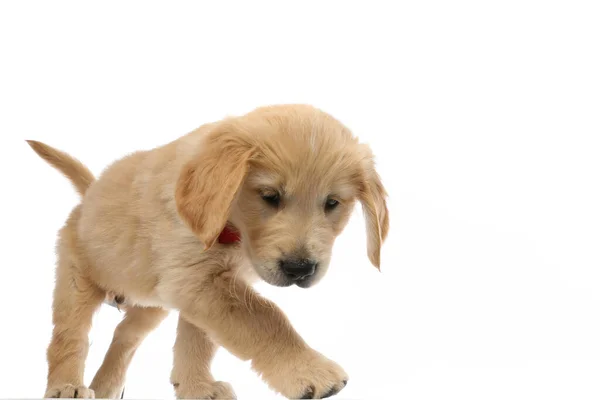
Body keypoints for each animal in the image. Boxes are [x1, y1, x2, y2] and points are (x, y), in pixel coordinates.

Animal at [28, 104, 386, 398]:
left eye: (332, 203)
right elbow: (265, 316)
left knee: (125, 335)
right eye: (269, 196)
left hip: (151, 301)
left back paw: (106, 387)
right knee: (69, 337)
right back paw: (67, 386)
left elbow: (197, 339)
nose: (300, 269)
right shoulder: (198, 280)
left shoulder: (197, 288)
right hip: (77, 279)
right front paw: (309, 371)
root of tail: (89, 195)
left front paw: (197, 388)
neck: (232, 225)